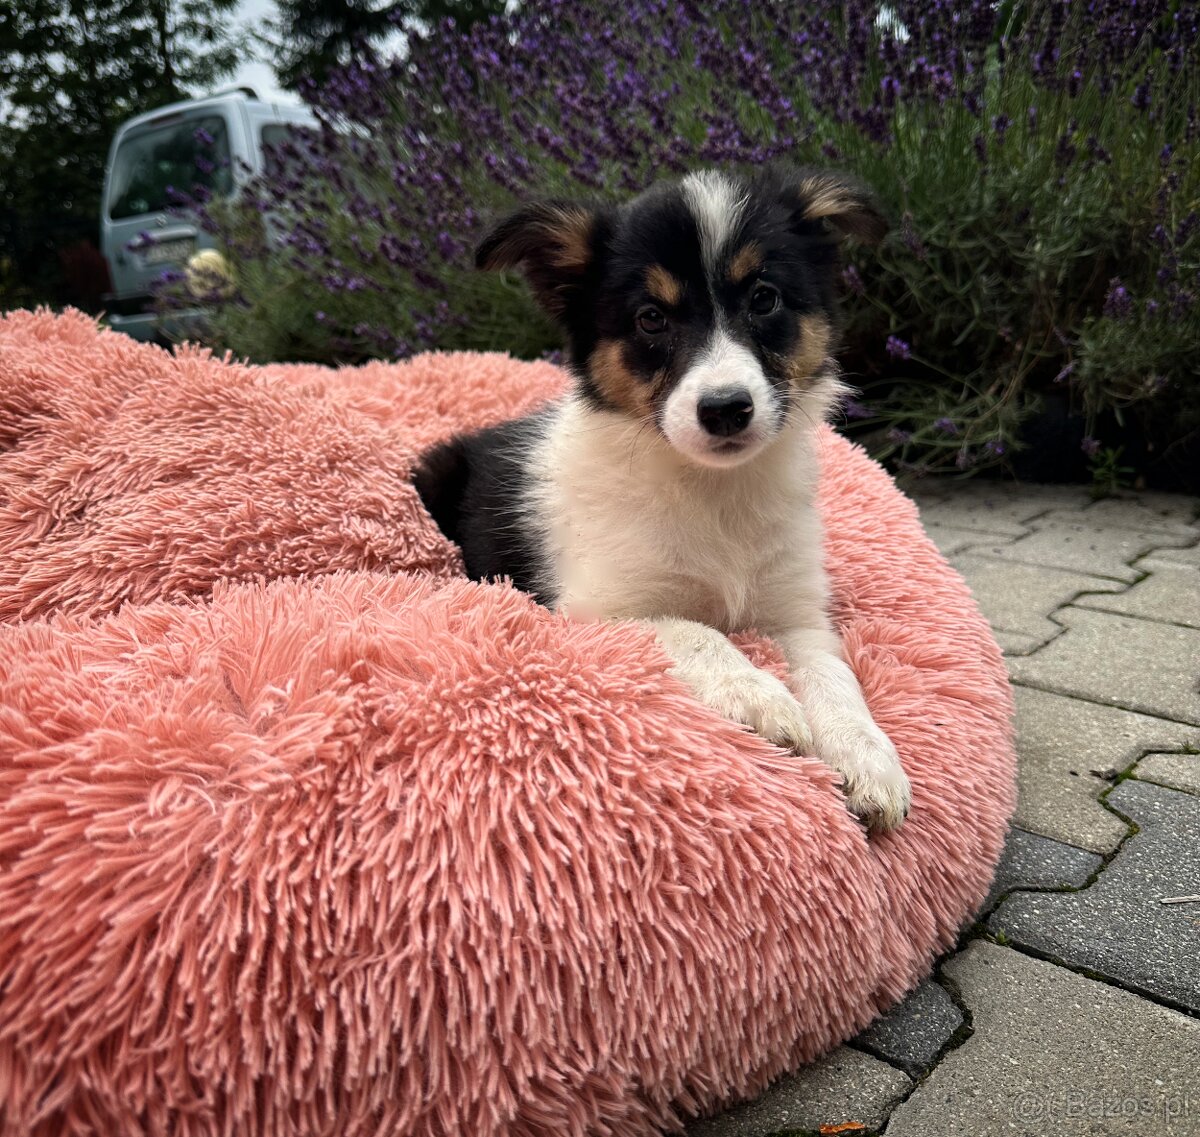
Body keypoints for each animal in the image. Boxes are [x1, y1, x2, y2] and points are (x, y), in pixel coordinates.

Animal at [417, 164, 912, 829]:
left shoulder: (797, 611)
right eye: (651, 318)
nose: (725, 408)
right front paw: (757, 695)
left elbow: (834, 673)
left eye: (764, 298)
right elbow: (692, 630)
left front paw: (867, 758)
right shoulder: (600, 607)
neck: (711, 490)